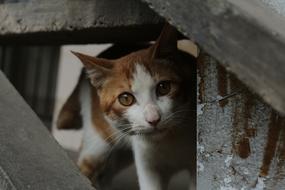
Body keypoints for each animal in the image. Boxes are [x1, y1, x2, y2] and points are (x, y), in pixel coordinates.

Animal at [56, 24, 196, 190]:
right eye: (126, 99)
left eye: (164, 88)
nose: (153, 119)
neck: (169, 139)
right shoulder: (148, 166)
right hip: (101, 139)